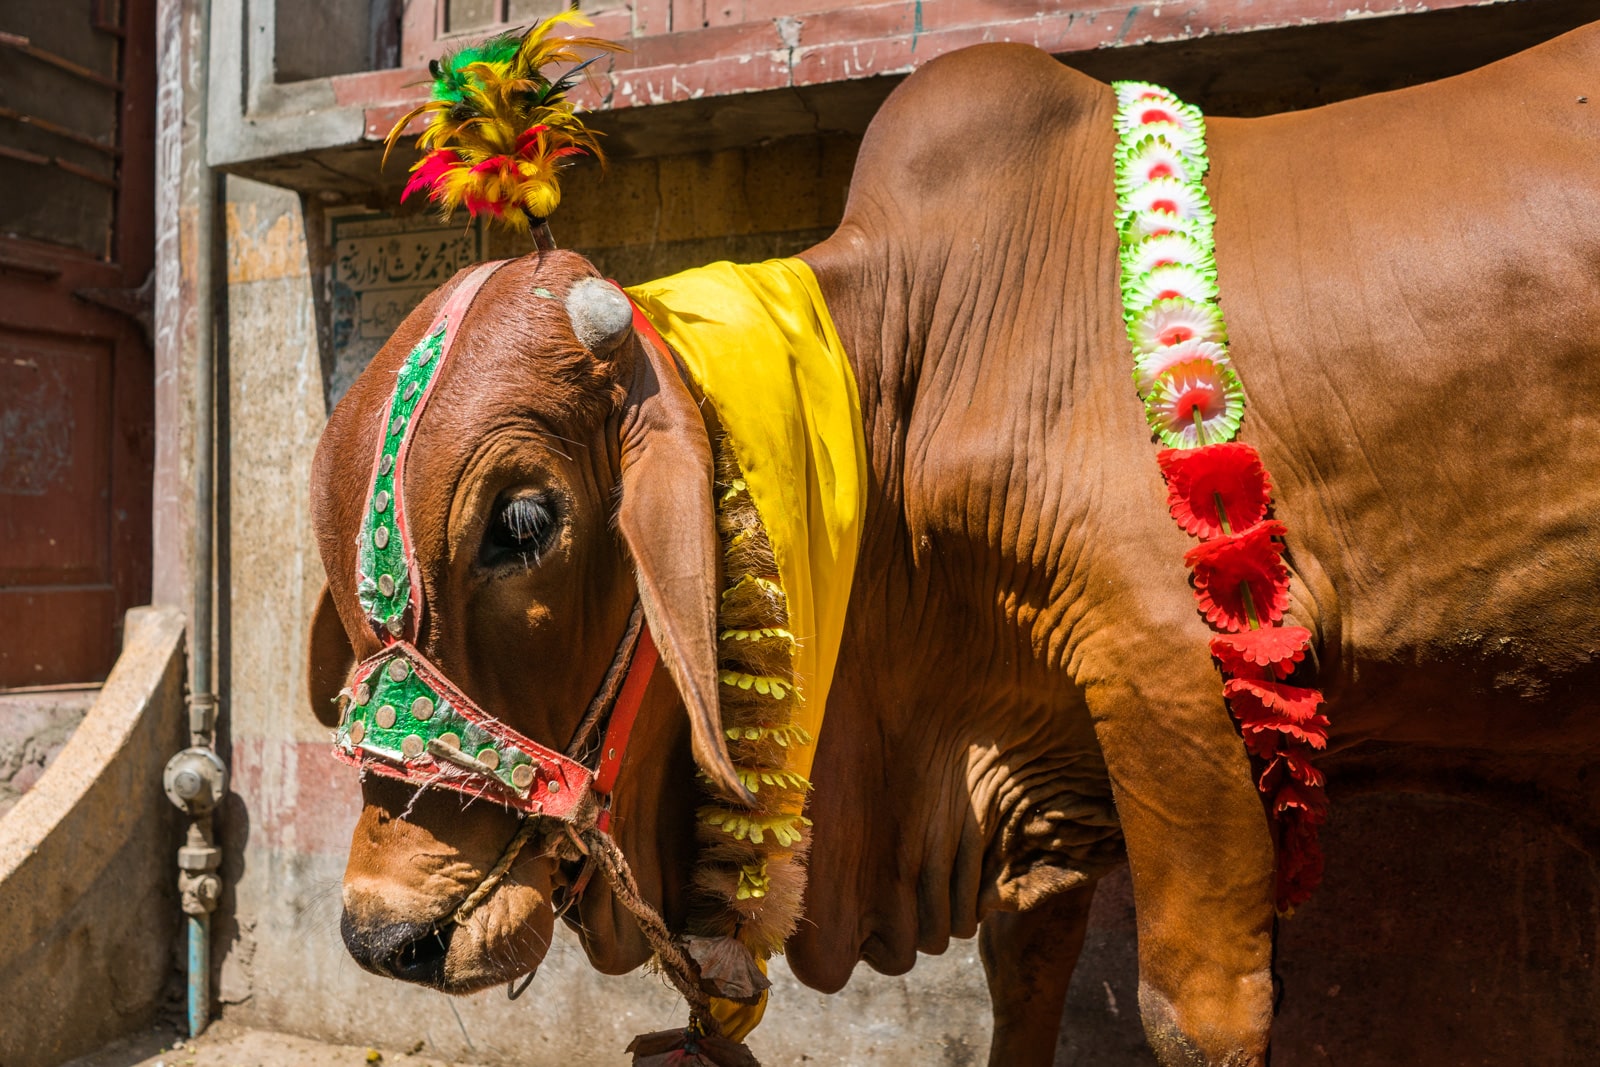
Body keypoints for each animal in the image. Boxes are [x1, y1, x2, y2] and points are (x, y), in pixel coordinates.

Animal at [305, 16, 1600, 1067]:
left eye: (523, 520)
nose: (381, 932)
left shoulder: (1177, 682)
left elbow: (1201, 1012)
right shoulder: (1044, 793)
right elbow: (1022, 977)